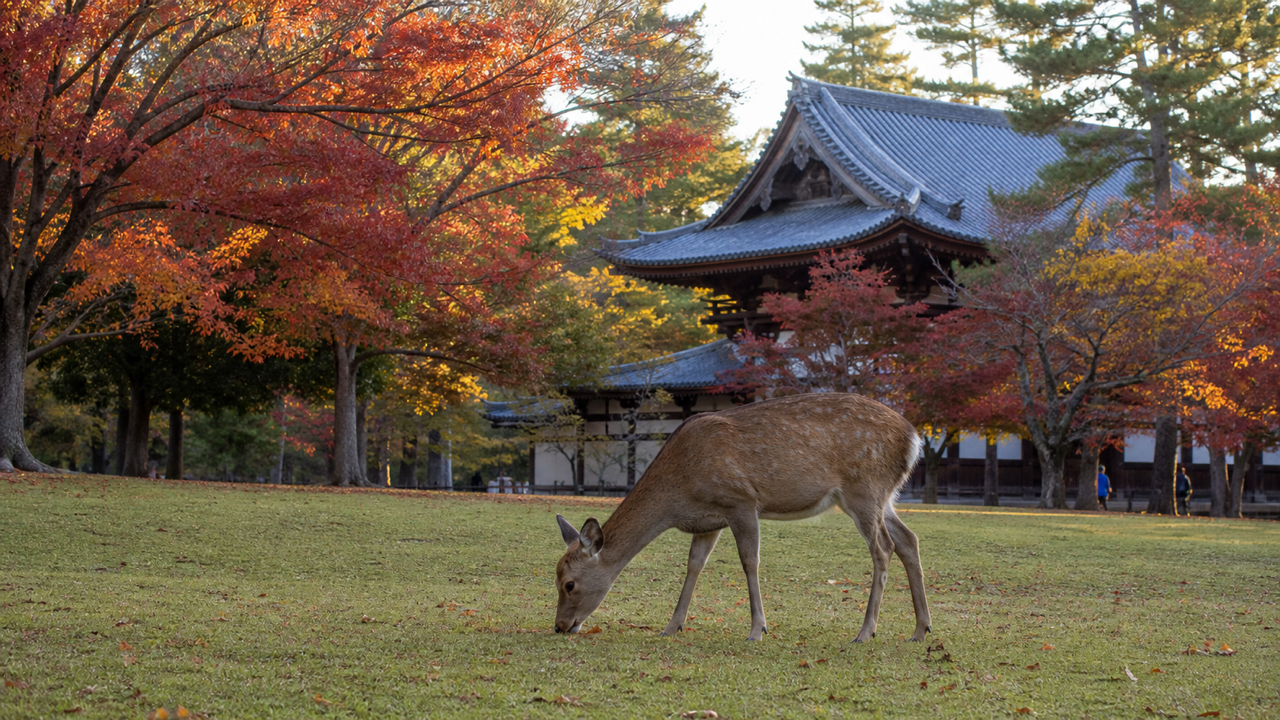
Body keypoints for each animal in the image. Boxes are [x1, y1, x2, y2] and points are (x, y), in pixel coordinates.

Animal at [553, 392, 931, 643]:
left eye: (569, 583)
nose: (560, 625)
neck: (679, 493)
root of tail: (914, 439)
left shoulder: (741, 501)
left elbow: (750, 561)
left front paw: (757, 629)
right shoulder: (707, 521)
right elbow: (694, 565)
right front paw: (672, 627)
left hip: (864, 489)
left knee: (883, 548)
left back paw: (866, 631)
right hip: (885, 496)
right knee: (908, 540)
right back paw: (920, 628)